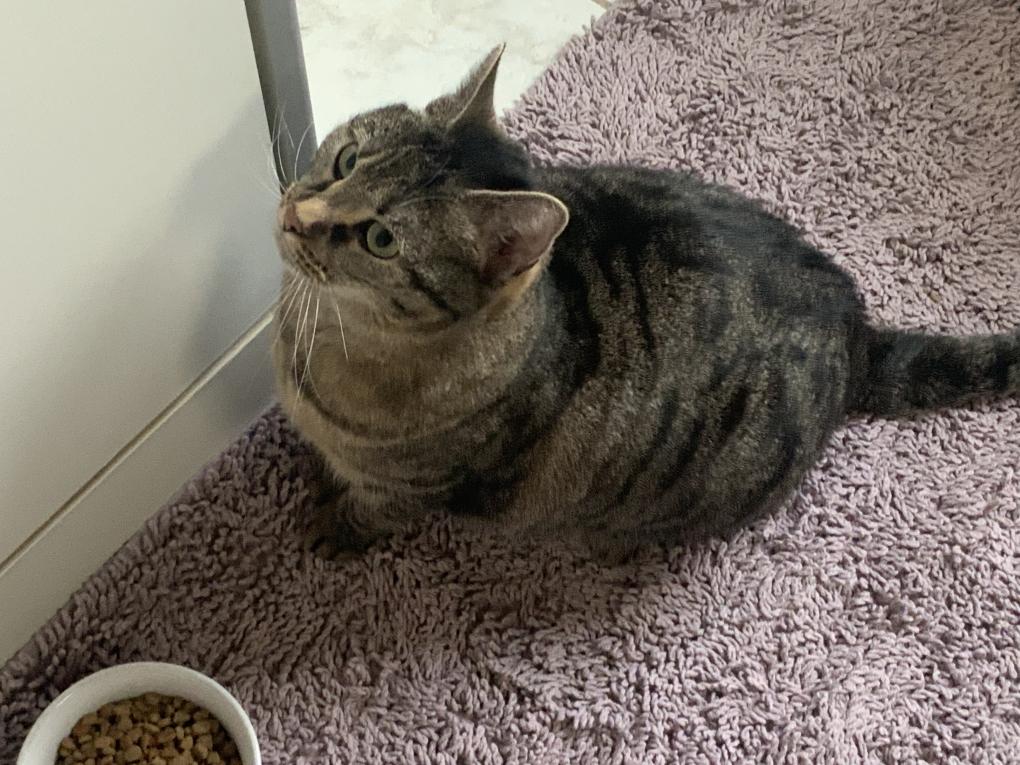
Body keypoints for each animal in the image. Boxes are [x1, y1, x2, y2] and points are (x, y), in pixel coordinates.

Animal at [272, 45, 1020, 563]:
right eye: (346, 160)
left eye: (381, 239)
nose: (295, 215)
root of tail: (854, 323)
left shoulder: (414, 490)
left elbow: (371, 510)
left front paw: (330, 526)